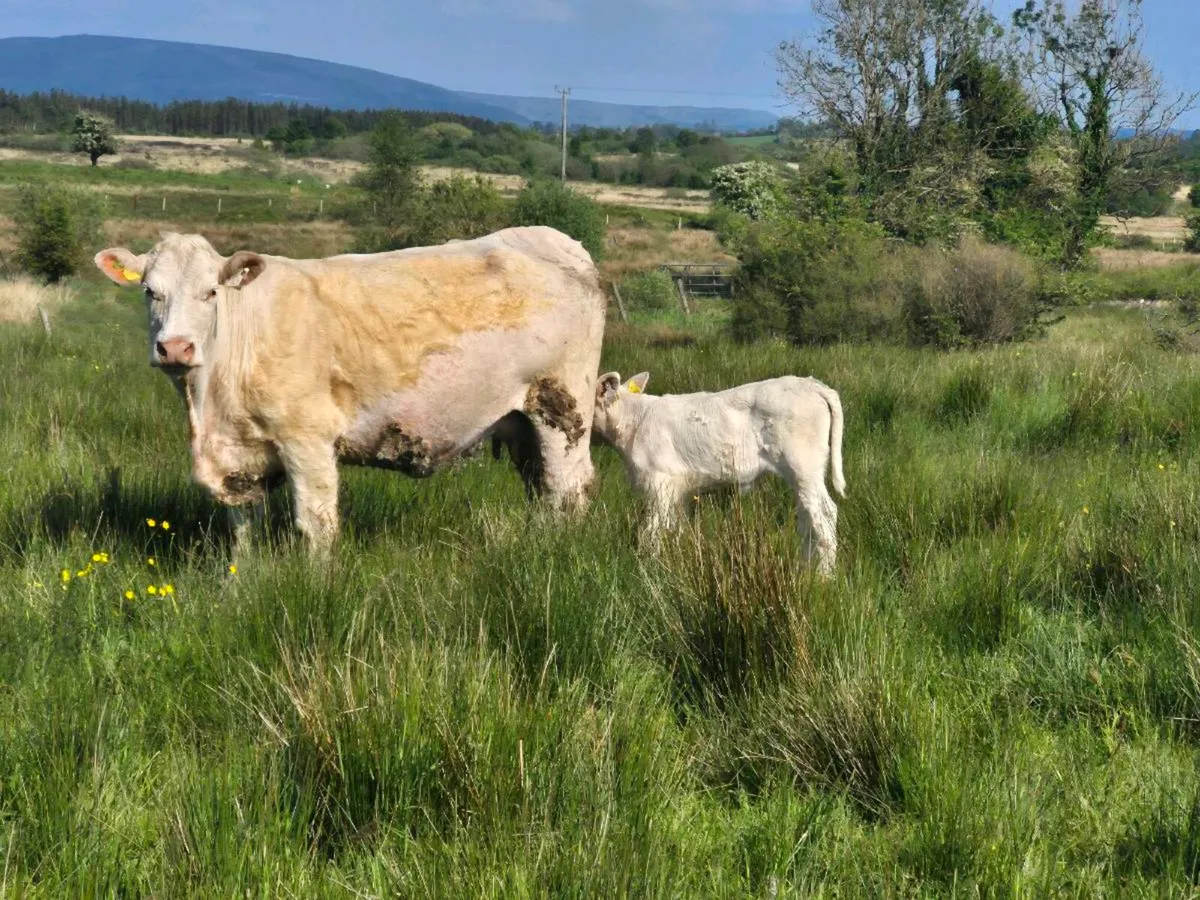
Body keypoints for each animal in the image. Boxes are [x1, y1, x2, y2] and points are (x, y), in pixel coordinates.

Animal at [94, 228, 606, 554]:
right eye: (149, 291)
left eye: (211, 293)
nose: (175, 347)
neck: (209, 404)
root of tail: (558, 241)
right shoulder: (239, 456)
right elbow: (242, 527)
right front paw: (242, 584)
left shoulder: (307, 440)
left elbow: (315, 524)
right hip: (520, 423)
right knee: (541, 489)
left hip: (562, 409)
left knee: (567, 489)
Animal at [591, 371, 845, 577]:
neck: (634, 419)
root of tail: (811, 384)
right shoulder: (678, 492)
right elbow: (675, 528)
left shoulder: (659, 482)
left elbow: (652, 530)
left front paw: (648, 568)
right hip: (800, 474)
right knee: (807, 520)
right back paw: (806, 570)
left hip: (804, 467)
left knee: (824, 515)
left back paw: (824, 577)